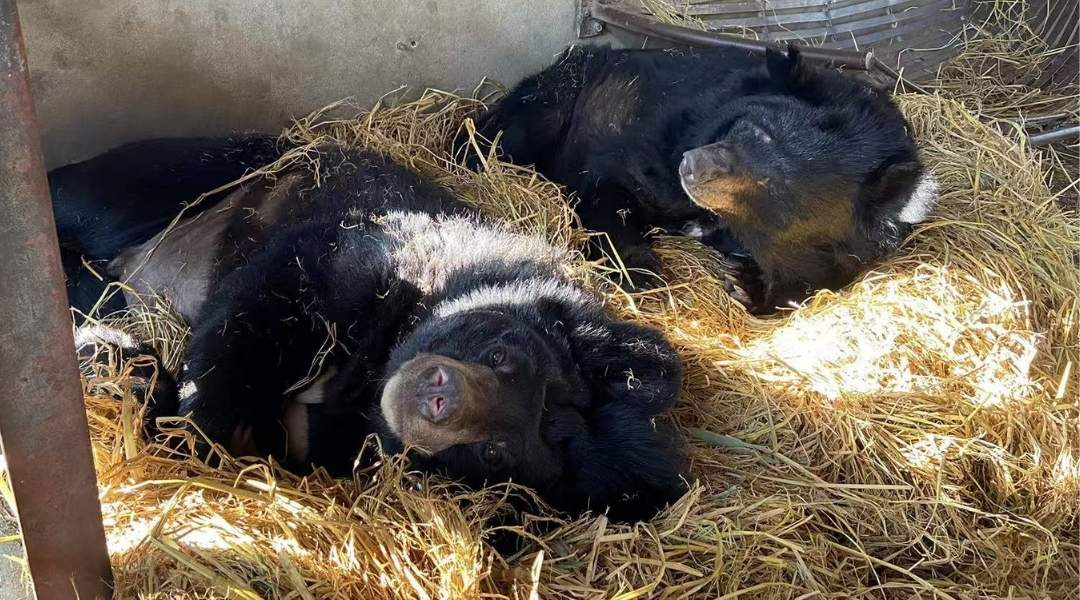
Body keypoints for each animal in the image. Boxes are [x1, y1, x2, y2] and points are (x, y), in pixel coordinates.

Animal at [53, 141, 686, 522]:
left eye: (496, 454)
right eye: (506, 356)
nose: (436, 397)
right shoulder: (358, 249)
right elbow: (254, 311)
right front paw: (194, 432)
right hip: (191, 179)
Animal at [466, 43, 938, 314]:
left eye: (779, 187)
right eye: (748, 129)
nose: (692, 166)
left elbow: (819, 279)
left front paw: (747, 286)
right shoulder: (651, 140)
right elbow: (608, 190)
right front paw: (642, 273)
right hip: (556, 100)